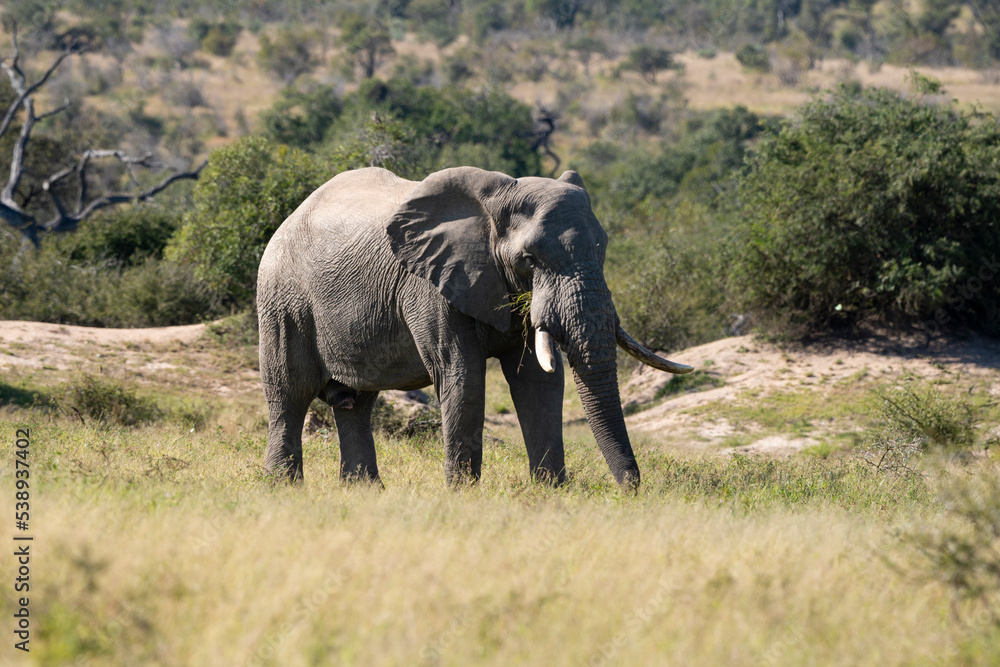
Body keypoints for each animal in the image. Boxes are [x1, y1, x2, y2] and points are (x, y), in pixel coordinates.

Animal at [256, 166, 692, 489]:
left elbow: (538, 381)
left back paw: (364, 493)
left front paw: (550, 492)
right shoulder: (429, 284)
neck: (495, 201)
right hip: (283, 300)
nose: (632, 489)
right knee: (290, 393)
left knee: (356, 403)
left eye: (603, 251)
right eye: (529, 260)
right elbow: (461, 373)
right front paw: (463, 495)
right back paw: (284, 489)